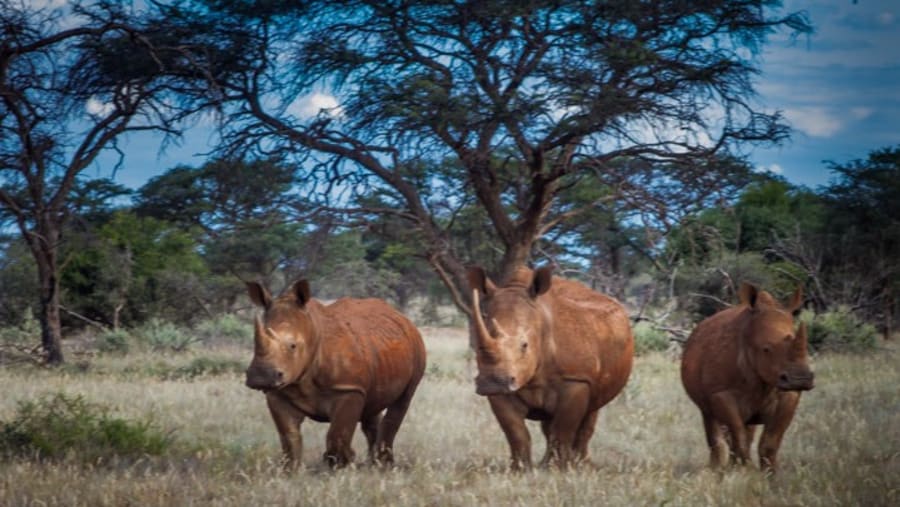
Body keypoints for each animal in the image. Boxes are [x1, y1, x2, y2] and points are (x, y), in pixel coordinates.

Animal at [244, 279, 426, 469]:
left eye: (293, 346)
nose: (260, 377)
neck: (311, 331)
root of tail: (402, 317)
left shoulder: (349, 388)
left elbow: (337, 434)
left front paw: (340, 466)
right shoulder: (279, 391)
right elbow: (289, 437)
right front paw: (290, 470)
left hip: (417, 346)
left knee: (402, 400)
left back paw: (384, 466)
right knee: (372, 404)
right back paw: (372, 465)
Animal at [467, 265, 634, 469]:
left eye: (524, 345)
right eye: (477, 346)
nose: (492, 383)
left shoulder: (576, 379)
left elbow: (562, 429)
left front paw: (558, 470)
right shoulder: (502, 390)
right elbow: (516, 432)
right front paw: (520, 470)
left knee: (589, 414)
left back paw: (581, 465)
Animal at [681, 282, 815, 472]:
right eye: (766, 349)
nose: (800, 379)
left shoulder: (789, 394)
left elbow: (770, 443)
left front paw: (771, 477)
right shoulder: (720, 394)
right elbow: (739, 437)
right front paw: (747, 474)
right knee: (713, 421)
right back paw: (716, 471)